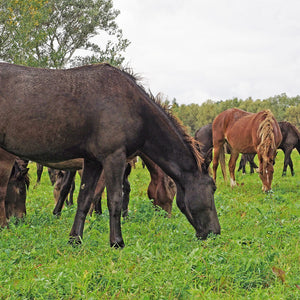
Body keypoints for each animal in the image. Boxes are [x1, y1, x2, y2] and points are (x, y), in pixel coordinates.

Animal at [0, 62, 220, 246]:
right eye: (213, 188)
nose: (215, 232)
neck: (135, 107)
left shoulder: (92, 161)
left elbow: (84, 198)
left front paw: (75, 240)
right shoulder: (114, 157)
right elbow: (114, 198)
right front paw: (117, 242)